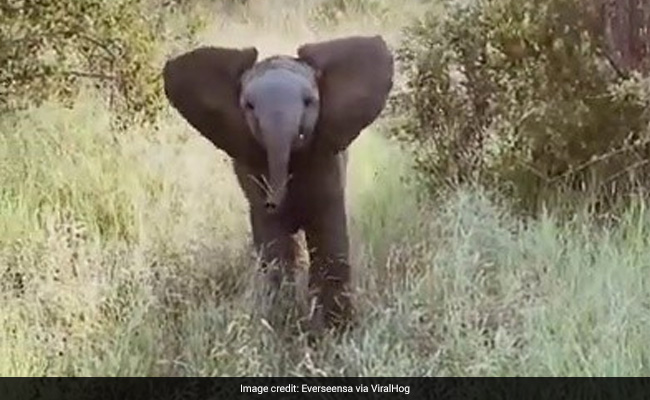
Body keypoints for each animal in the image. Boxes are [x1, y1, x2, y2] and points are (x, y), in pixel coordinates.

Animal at [162, 35, 394, 332]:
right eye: (249, 106)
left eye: (309, 101)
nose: (273, 202)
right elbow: (275, 247)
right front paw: (282, 327)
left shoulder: (326, 159)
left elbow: (327, 231)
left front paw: (336, 330)